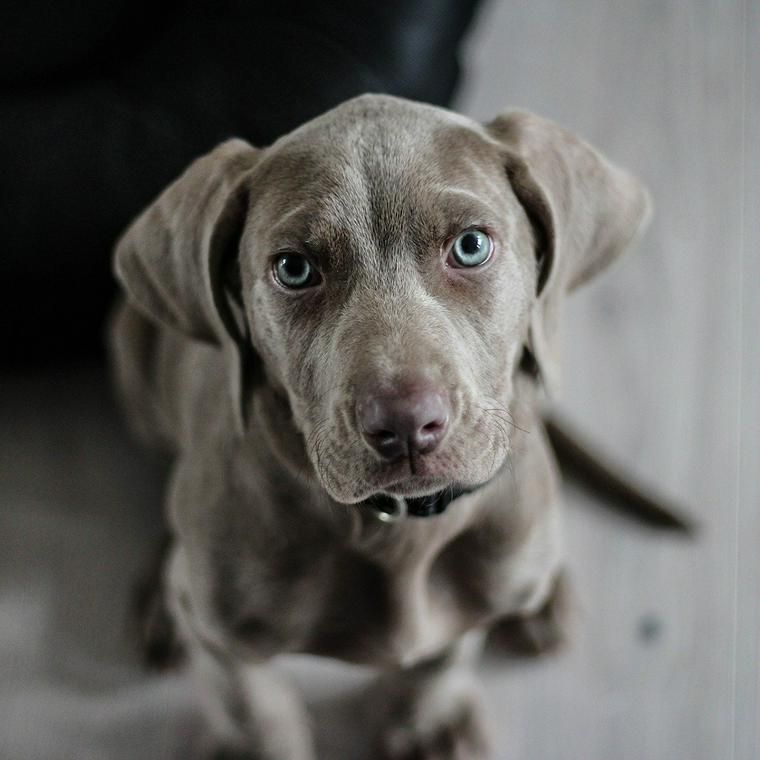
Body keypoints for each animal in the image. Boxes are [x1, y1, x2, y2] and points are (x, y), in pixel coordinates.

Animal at [110, 95, 652, 760]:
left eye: (471, 246)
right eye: (294, 268)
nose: (406, 425)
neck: (397, 528)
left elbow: (445, 654)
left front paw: (427, 722)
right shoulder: (223, 636)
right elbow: (251, 706)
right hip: (131, 355)